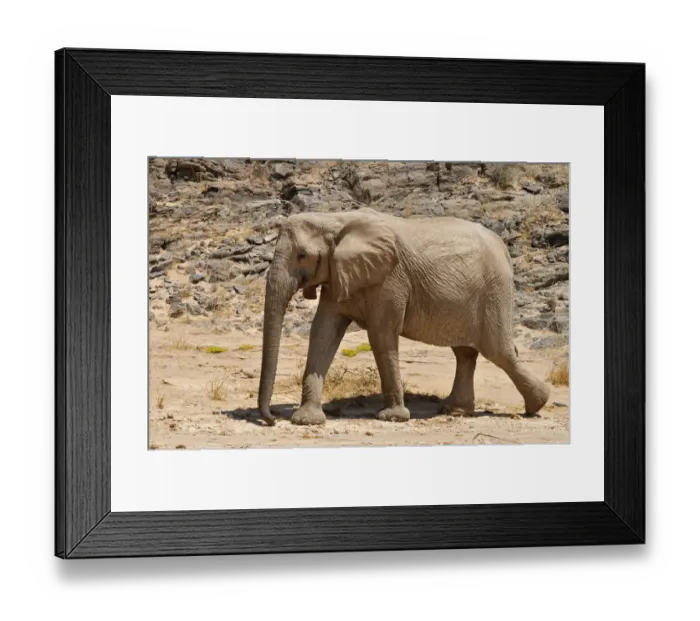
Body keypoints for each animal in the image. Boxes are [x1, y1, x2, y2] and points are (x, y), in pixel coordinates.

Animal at [258, 207, 550, 426]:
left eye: (302, 255)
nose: (271, 419)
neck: (334, 218)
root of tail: (503, 248)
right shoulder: (339, 273)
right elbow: (323, 332)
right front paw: (306, 420)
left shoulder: (391, 279)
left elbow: (381, 335)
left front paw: (392, 417)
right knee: (466, 353)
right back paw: (455, 411)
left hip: (494, 290)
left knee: (499, 351)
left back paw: (537, 405)